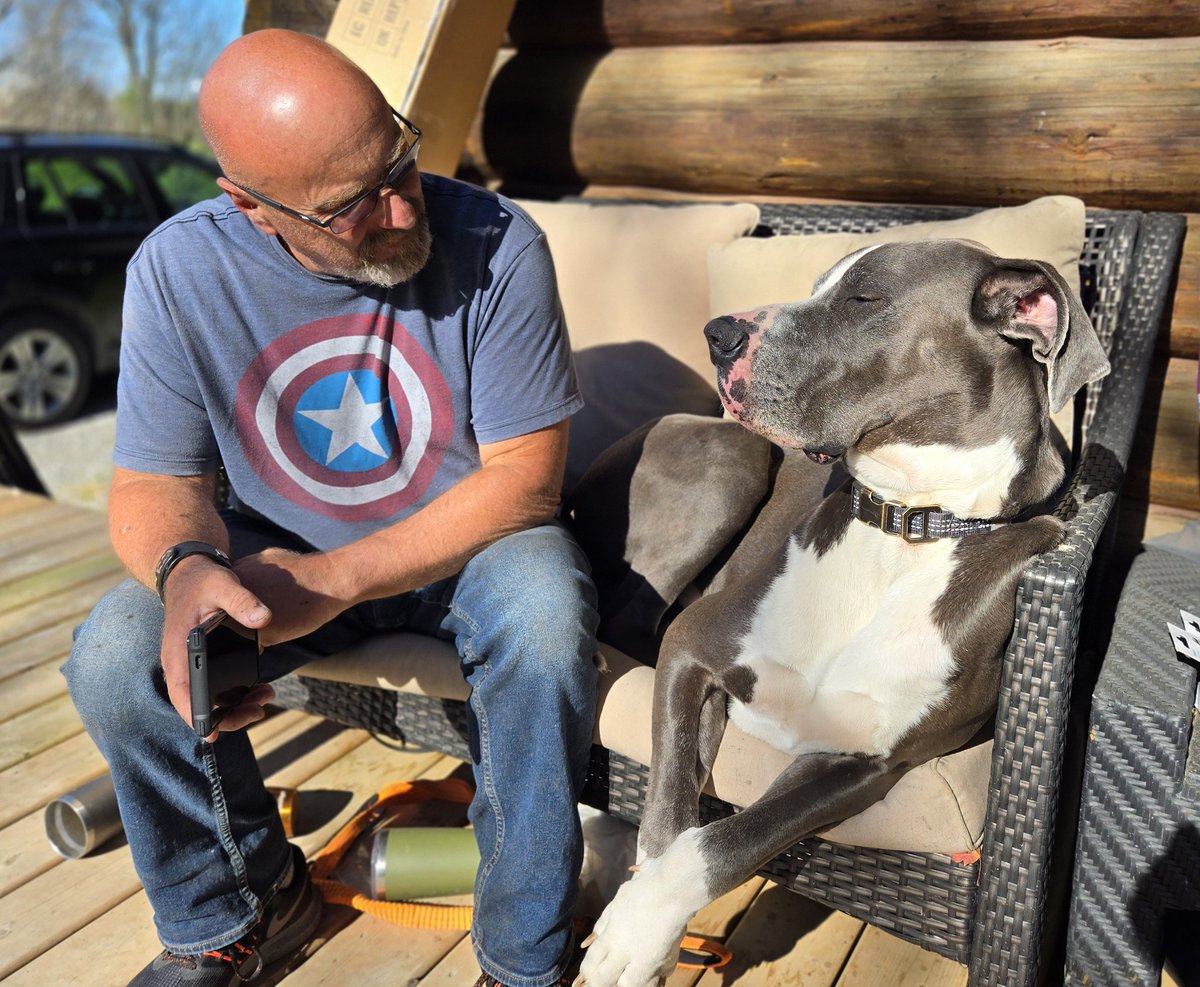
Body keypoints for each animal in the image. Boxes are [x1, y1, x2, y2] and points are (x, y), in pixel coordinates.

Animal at [566, 240, 1108, 987]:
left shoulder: (861, 763)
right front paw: (638, 923)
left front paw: (639, 927)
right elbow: (670, 809)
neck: (908, 524)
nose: (718, 333)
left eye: (864, 298)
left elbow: (728, 838)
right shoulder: (691, 647)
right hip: (734, 456)